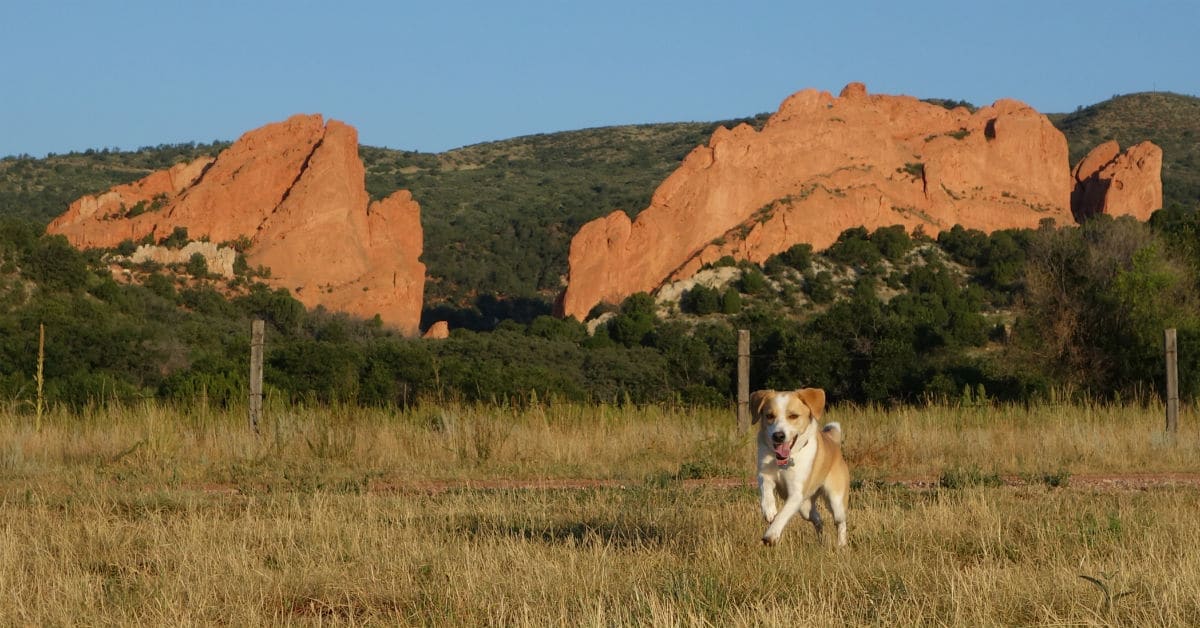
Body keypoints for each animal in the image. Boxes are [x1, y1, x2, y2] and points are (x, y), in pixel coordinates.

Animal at [753, 389, 849, 545]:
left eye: (793, 416)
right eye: (769, 416)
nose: (778, 435)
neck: (785, 461)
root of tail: (833, 442)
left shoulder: (796, 494)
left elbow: (783, 514)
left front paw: (771, 534)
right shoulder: (764, 475)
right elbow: (765, 489)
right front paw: (769, 510)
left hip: (836, 501)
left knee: (840, 522)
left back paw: (841, 544)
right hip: (805, 508)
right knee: (818, 519)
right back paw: (822, 538)